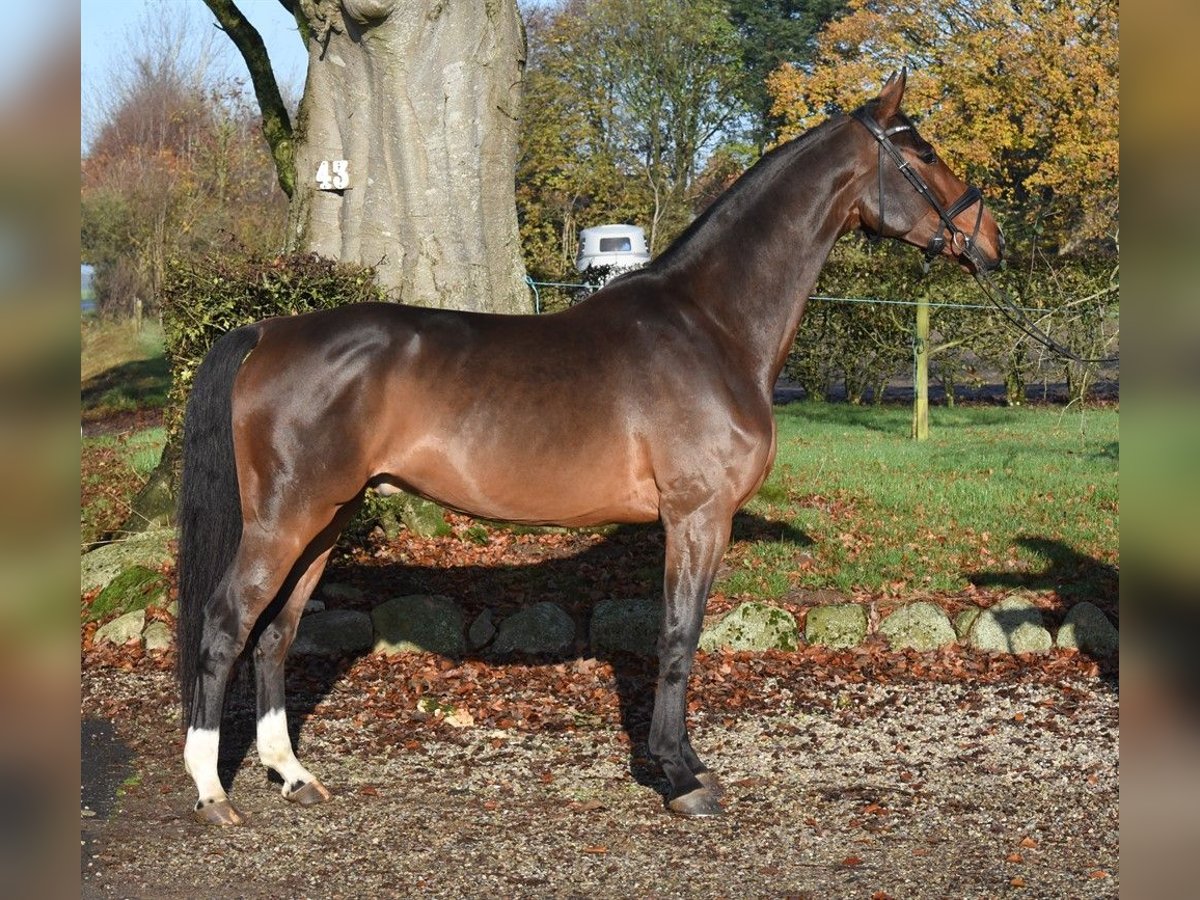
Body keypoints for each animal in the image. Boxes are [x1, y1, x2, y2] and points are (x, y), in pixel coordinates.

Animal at [175, 74, 1003, 830]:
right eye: (924, 154)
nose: (990, 242)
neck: (711, 325)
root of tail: (271, 330)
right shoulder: (697, 517)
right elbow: (678, 637)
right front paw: (680, 777)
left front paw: (686, 764)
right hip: (287, 519)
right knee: (226, 621)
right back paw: (213, 792)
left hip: (330, 518)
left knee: (276, 633)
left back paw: (292, 774)